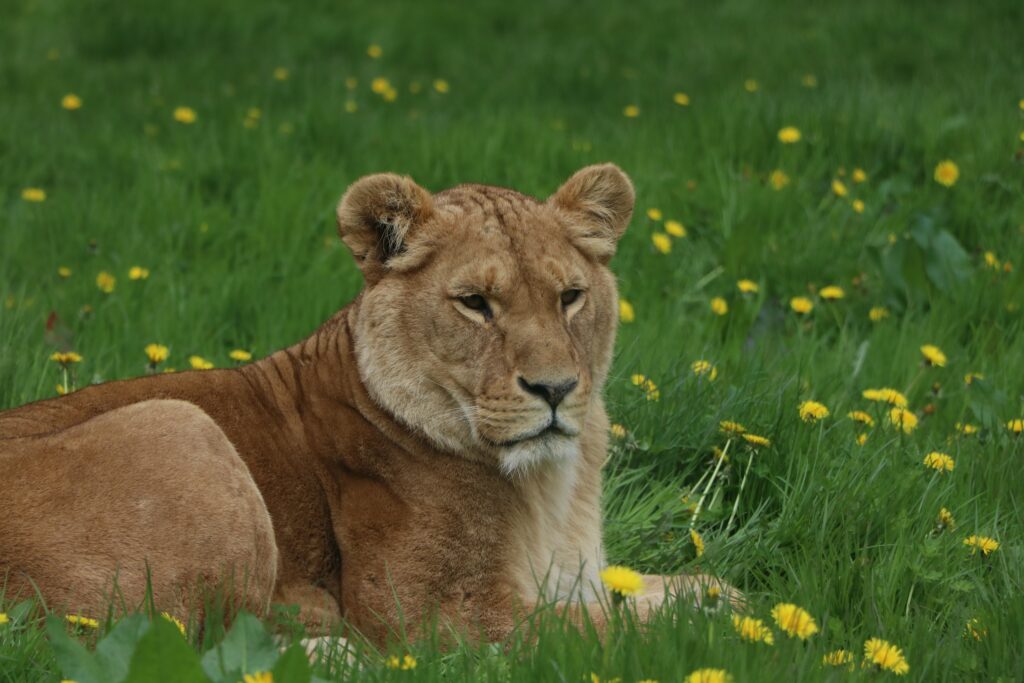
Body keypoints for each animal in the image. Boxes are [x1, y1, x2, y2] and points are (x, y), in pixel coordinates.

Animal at [0, 164, 728, 645]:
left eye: (570, 297)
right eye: (475, 303)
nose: (554, 389)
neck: (551, 482)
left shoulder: (576, 575)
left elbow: (677, 589)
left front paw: (715, 596)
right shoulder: (429, 613)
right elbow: (606, 629)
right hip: (177, 423)